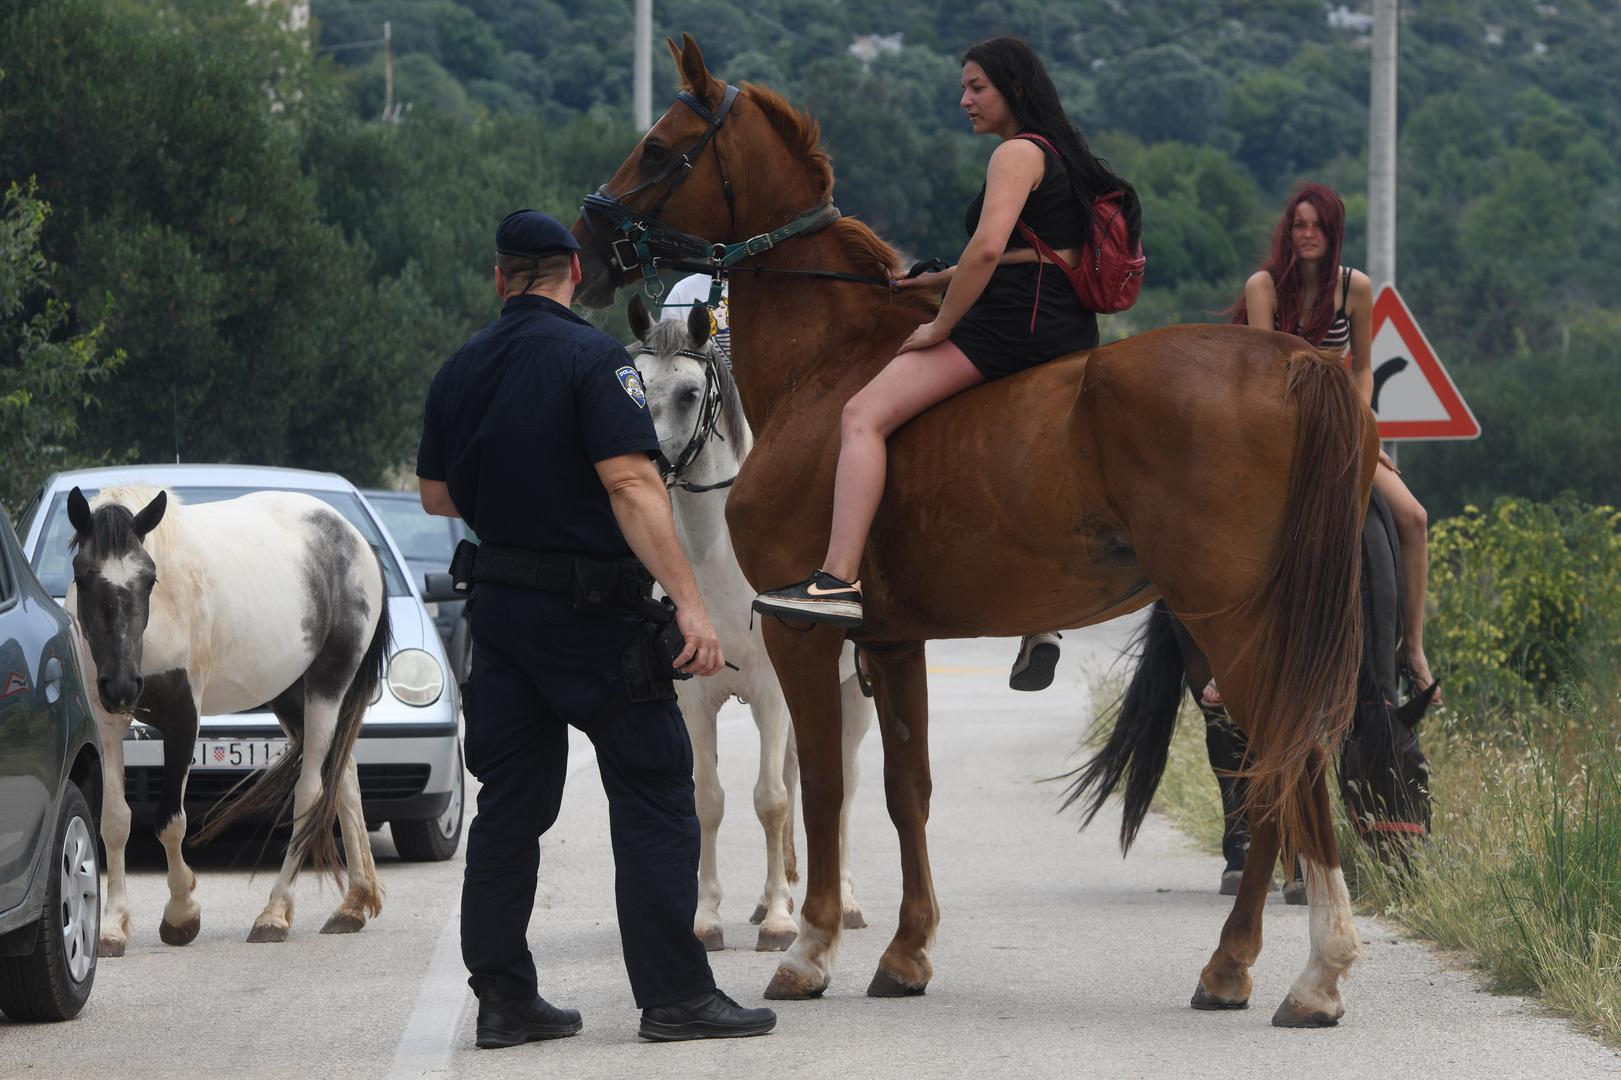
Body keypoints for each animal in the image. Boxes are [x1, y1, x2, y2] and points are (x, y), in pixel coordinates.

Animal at [67, 483, 392, 947]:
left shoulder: (183, 717)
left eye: (149, 579)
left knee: (312, 791)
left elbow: (170, 822)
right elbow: (115, 820)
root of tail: (356, 539)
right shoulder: (108, 722)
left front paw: (181, 912)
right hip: (290, 696)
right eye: (83, 577)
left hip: (327, 689)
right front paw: (113, 925)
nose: (123, 685)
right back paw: (353, 904)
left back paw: (275, 913)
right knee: (344, 779)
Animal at [625, 296, 875, 953]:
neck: (718, 563)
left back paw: (843, 901)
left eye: (688, 393)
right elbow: (708, 801)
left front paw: (785, 921)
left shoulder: (770, 691)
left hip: (852, 696)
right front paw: (706, 917)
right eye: (637, 384)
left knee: (841, 789)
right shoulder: (696, 700)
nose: (645, 464)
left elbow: (771, 801)